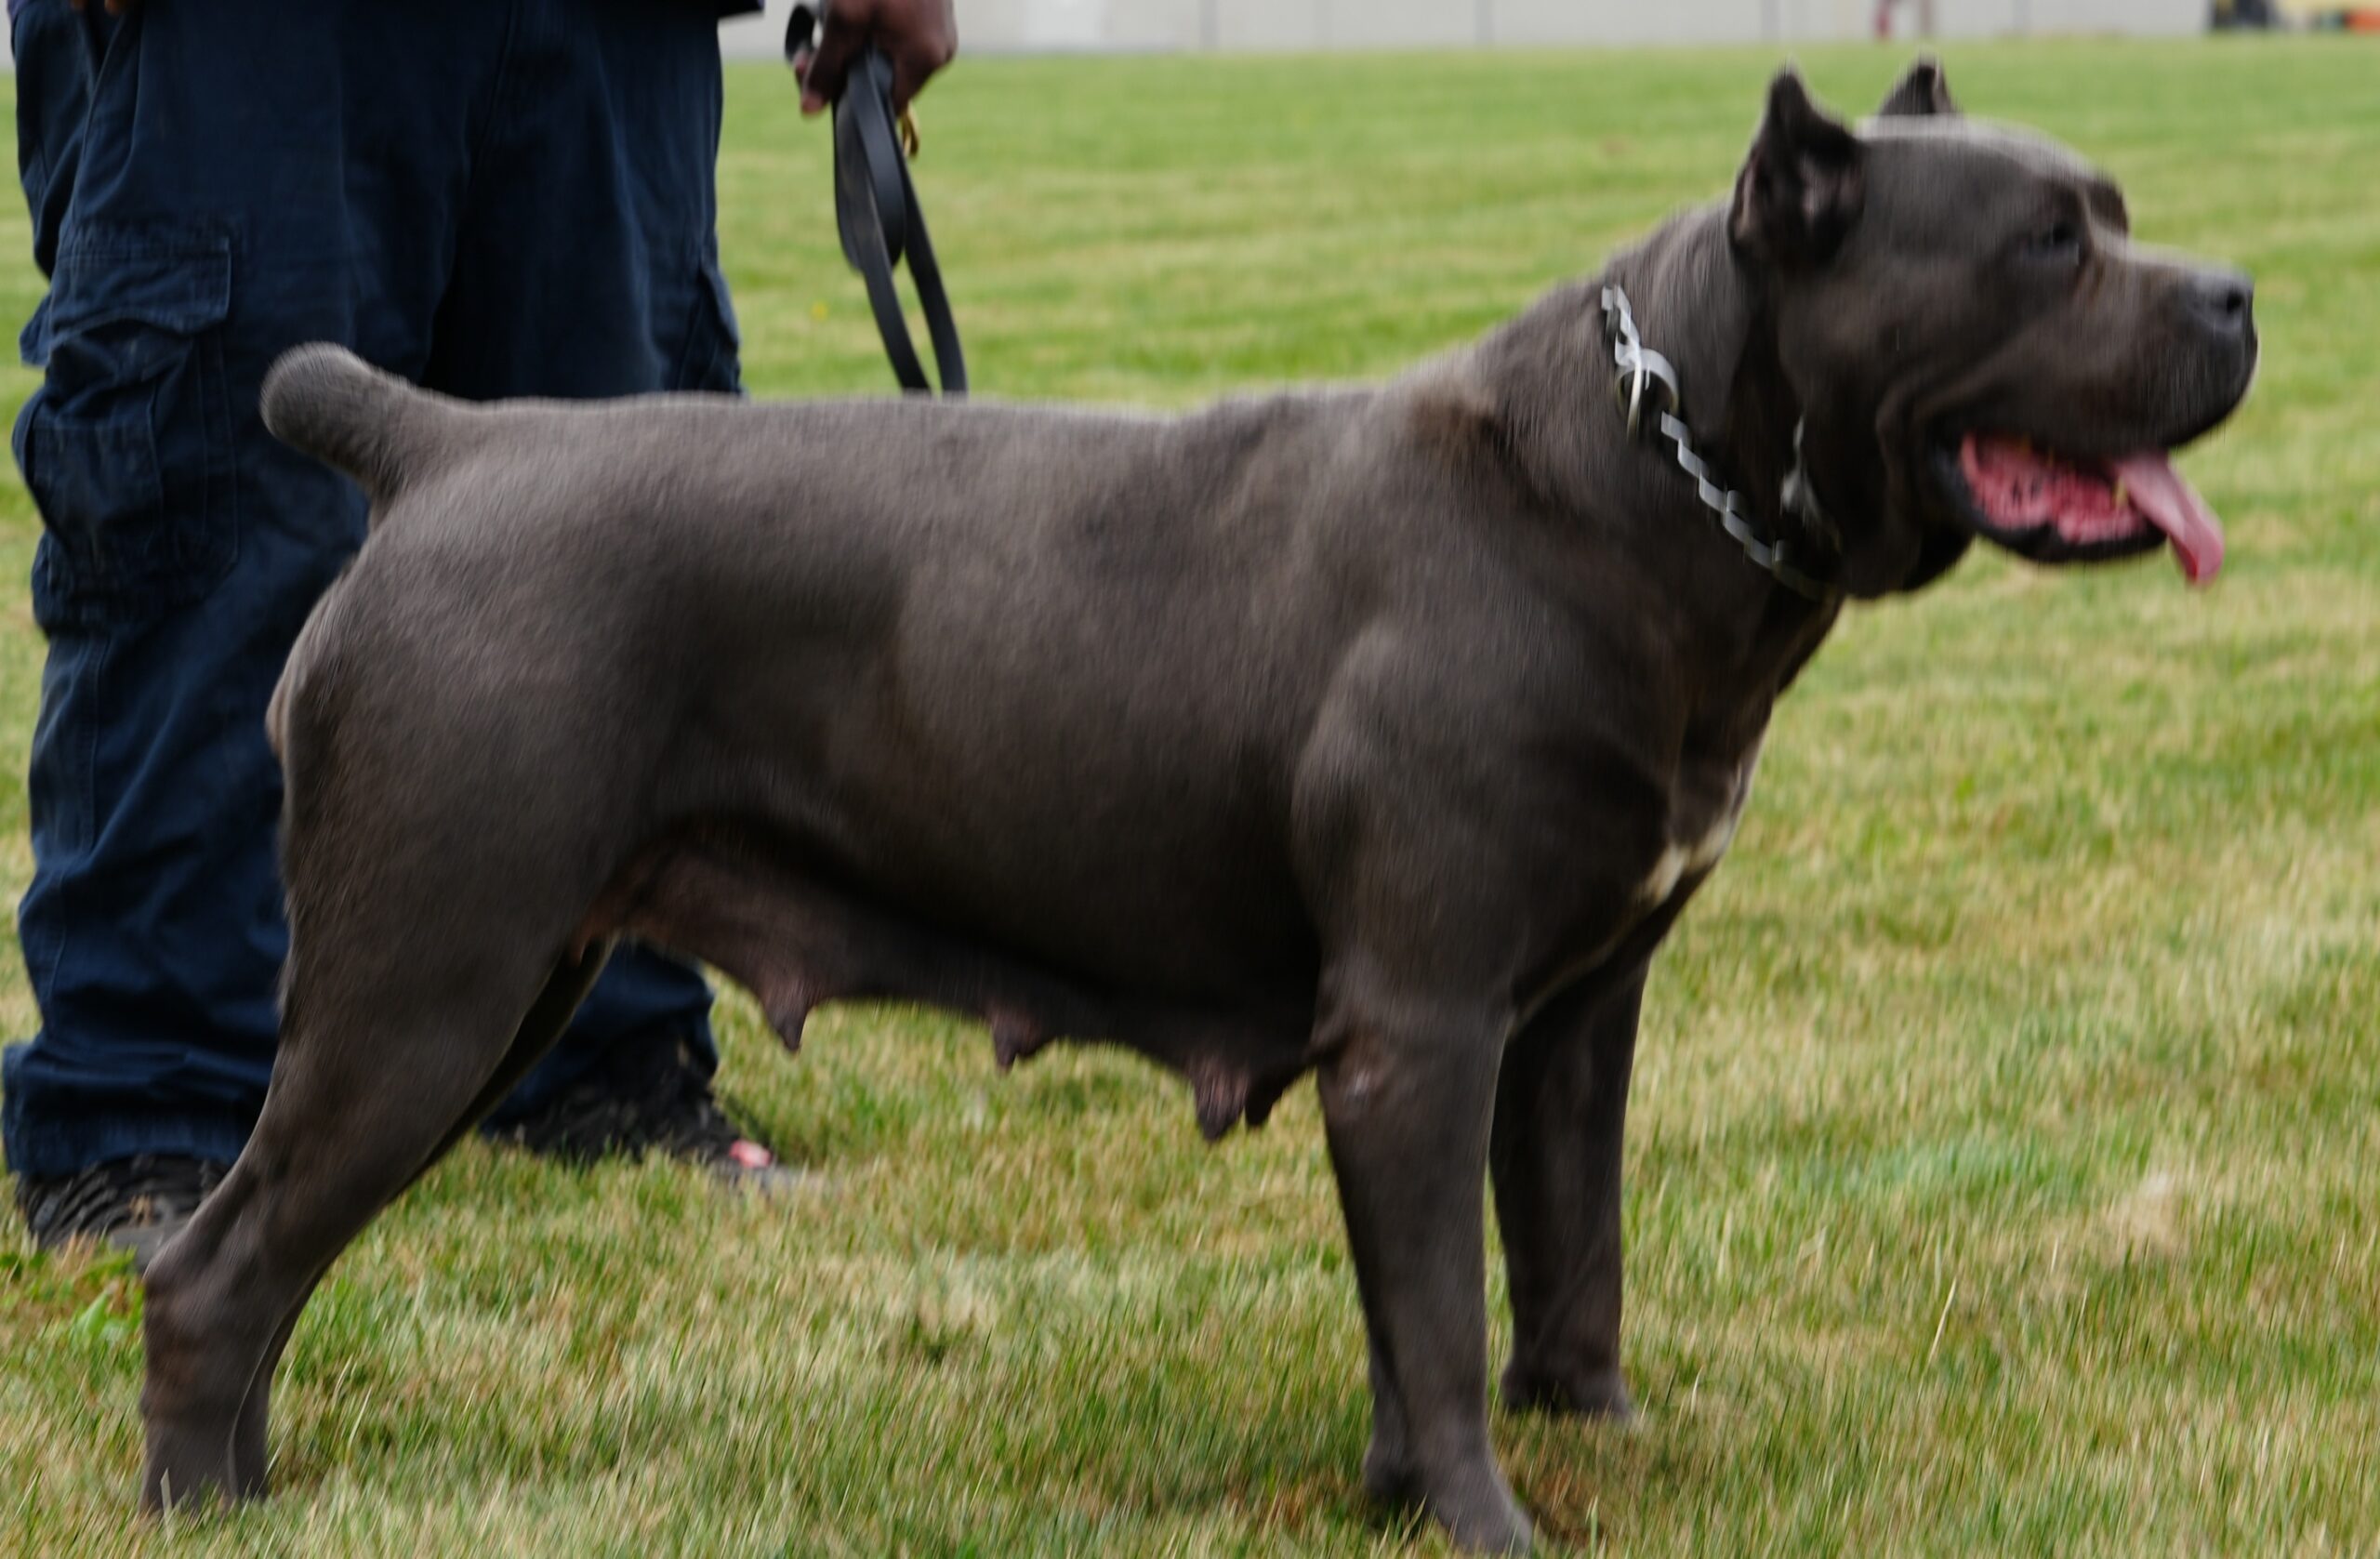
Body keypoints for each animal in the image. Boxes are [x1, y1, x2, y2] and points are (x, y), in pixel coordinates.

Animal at [139, 60, 2255, 1552]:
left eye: (2118, 215)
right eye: (2045, 248)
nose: (2237, 293)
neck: (1644, 481)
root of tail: (444, 442)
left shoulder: (1569, 1018)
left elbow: (1563, 1266)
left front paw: (1572, 1449)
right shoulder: (1416, 1030)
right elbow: (1442, 1311)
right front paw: (1476, 1521)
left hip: (492, 992)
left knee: (258, 1263)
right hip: (427, 981)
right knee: (211, 1268)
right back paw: (208, 1507)